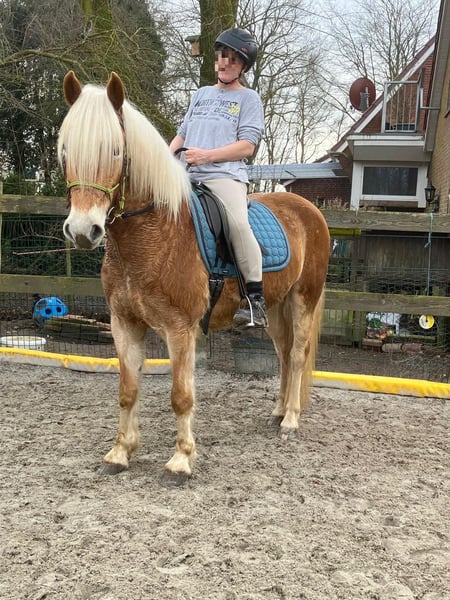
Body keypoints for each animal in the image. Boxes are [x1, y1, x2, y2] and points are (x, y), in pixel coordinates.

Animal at [59, 71, 330, 486]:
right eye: (65, 152)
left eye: (117, 152)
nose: (82, 231)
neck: (153, 233)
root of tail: (308, 209)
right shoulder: (124, 323)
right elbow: (127, 390)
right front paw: (120, 453)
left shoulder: (180, 328)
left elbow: (180, 396)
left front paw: (180, 460)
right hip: (275, 307)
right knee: (284, 355)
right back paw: (279, 412)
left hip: (303, 300)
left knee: (298, 355)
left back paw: (291, 422)